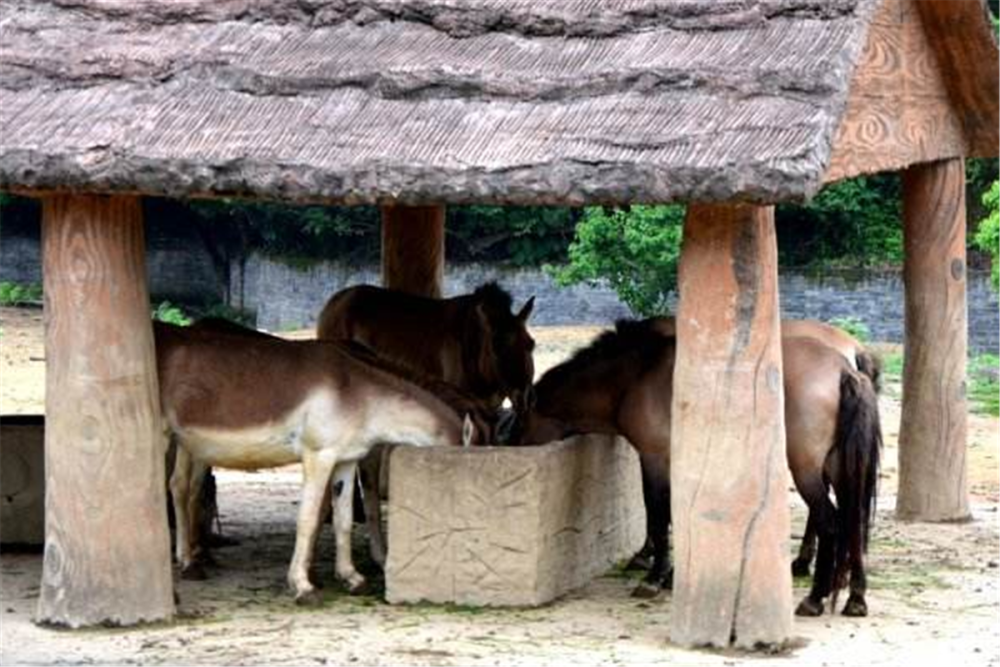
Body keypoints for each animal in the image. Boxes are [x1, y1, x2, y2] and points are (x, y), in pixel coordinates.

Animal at [154, 321, 480, 605]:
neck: (358, 395)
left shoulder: (345, 462)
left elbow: (343, 520)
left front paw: (352, 578)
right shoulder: (318, 457)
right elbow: (308, 519)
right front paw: (303, 586)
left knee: (180, 487)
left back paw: (189, 562)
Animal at [510, 318, 882, 617]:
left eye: (519, 423)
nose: (514, 448)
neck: (638, 374)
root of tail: (845, 368)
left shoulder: (654, 458)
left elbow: (658, 514)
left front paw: (655, 576)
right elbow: (674, 515)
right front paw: (673, 573)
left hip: (807, 471)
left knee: (831, 523)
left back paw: (815, 598)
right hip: (841, 468)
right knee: (853, 522)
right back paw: (855, 598)